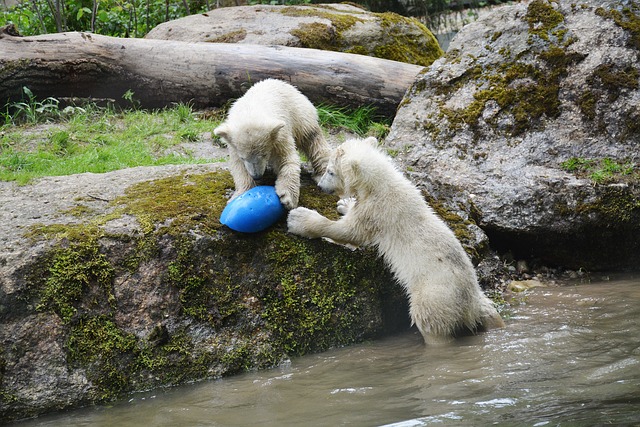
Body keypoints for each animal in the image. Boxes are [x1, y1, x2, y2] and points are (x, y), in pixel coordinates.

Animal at [213, 79, 331, 209]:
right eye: (243, 157)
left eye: (264, 154)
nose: (257, 176)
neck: (251, 110)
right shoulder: (233, 145)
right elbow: (238, 167)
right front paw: (239, 194)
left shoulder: (279, 134)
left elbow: (286, 159)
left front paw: (288, 198)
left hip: (300, 115)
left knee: (313, 141)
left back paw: (322, 175)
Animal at [287, 136, 505, 345]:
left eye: (330, 171)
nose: (320, 186)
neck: (382, 183)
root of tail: (470, 307)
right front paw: (345, 203)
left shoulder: (378, 212)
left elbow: (351, 232)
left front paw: (299, 219)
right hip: (477, 301)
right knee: (490, 313)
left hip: (434, 298)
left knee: (431, 325)